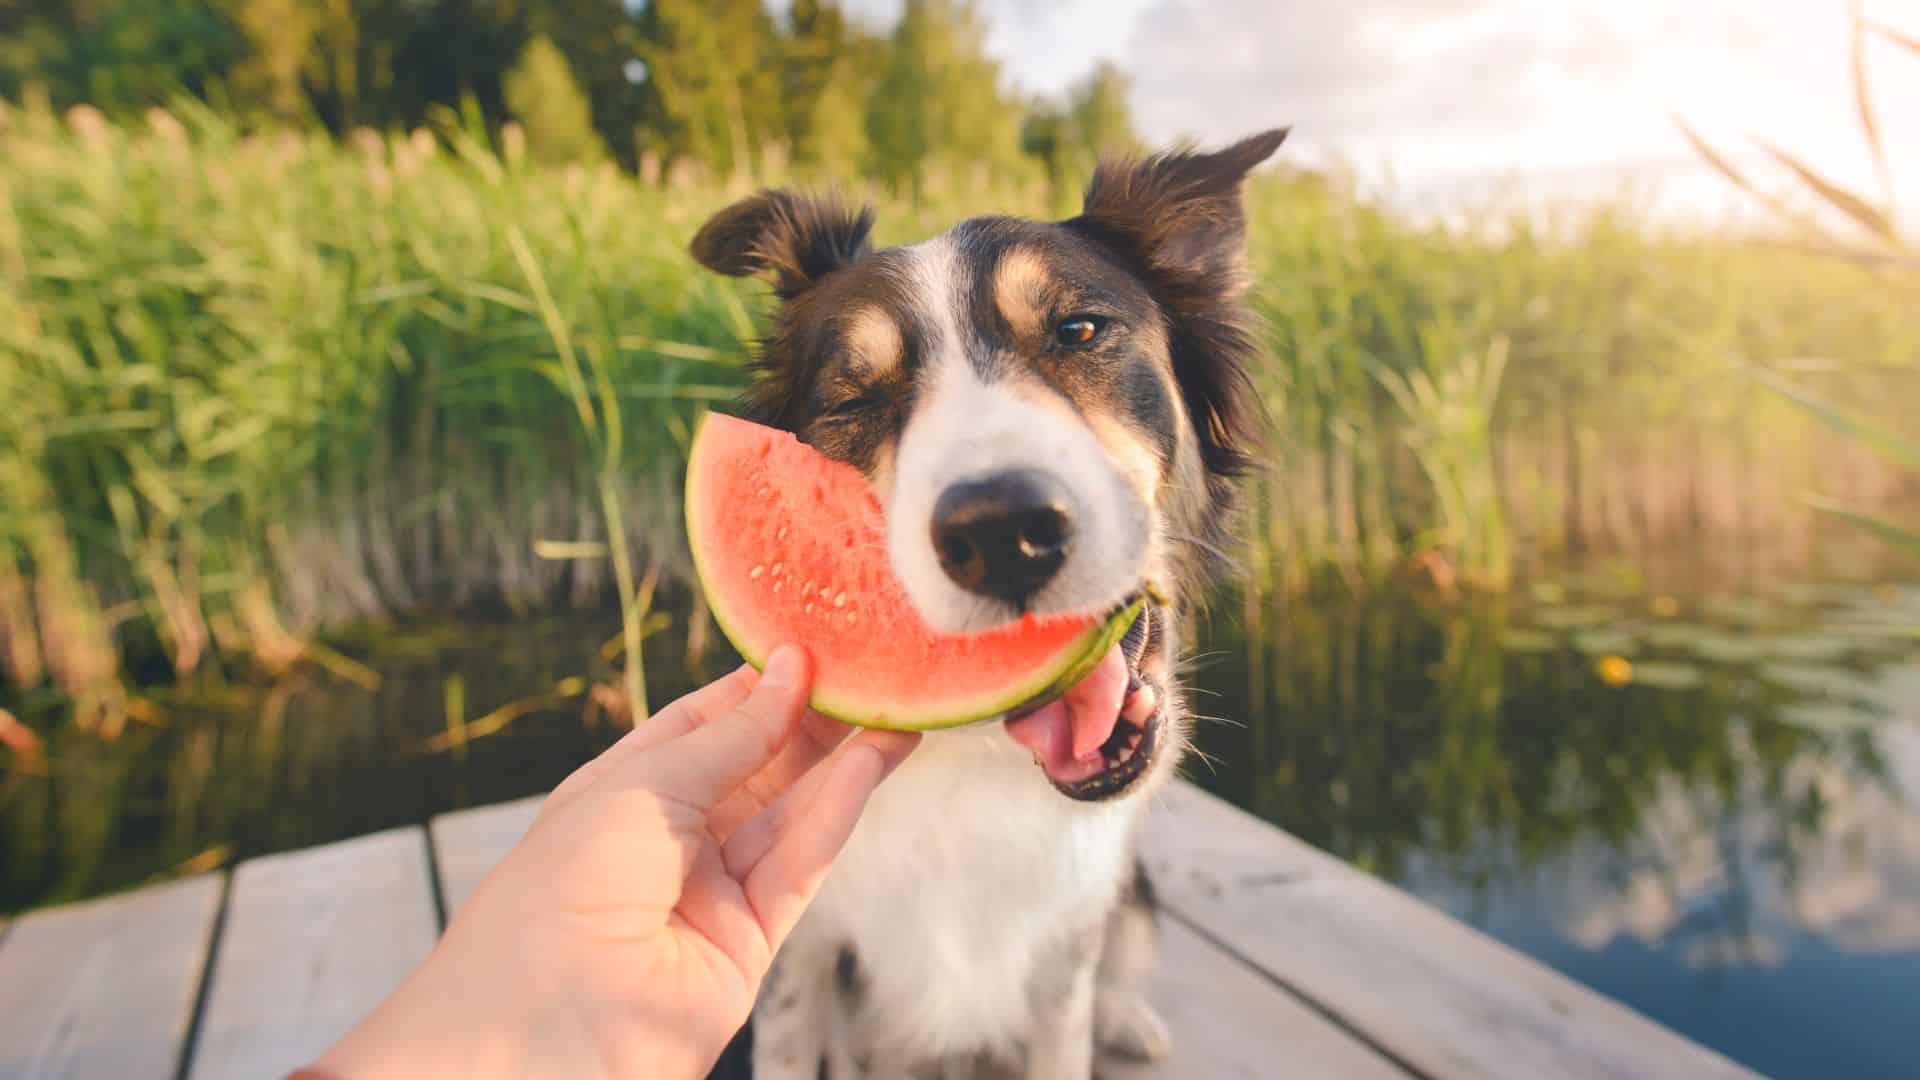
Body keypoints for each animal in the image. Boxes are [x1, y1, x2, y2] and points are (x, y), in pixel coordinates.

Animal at [691, 127, 1290, 1076]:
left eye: (1079, 330)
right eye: (857, 396)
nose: (1003, 530)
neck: (974, 760)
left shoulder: (1066, 960)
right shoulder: (799, 960)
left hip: (1134, 902)